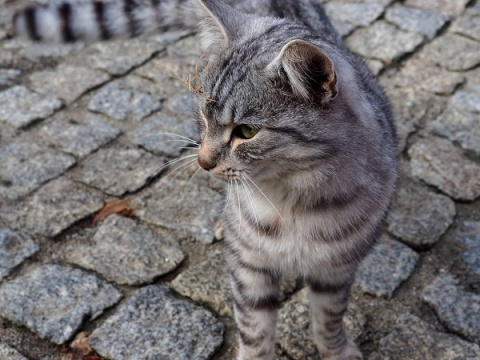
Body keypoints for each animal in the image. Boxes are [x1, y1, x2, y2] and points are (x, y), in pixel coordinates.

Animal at [14, 1, 398, 358]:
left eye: (247, 131)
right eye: (203, 113)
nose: (203, 161)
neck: (292, 204)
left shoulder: (337, 268)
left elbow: (329, 318)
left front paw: (336, 350)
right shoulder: (249, 266)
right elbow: (255, 328)